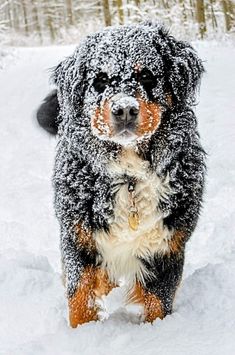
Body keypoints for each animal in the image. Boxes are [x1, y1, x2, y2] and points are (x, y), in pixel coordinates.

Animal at [36, 22, 206, 328]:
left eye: (146, 75)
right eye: (101, 81)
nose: (124, 109)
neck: (130, 178)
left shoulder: (168, 246)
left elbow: (158, 302)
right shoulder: (78, 236)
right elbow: (80, 296)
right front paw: (82, 332)